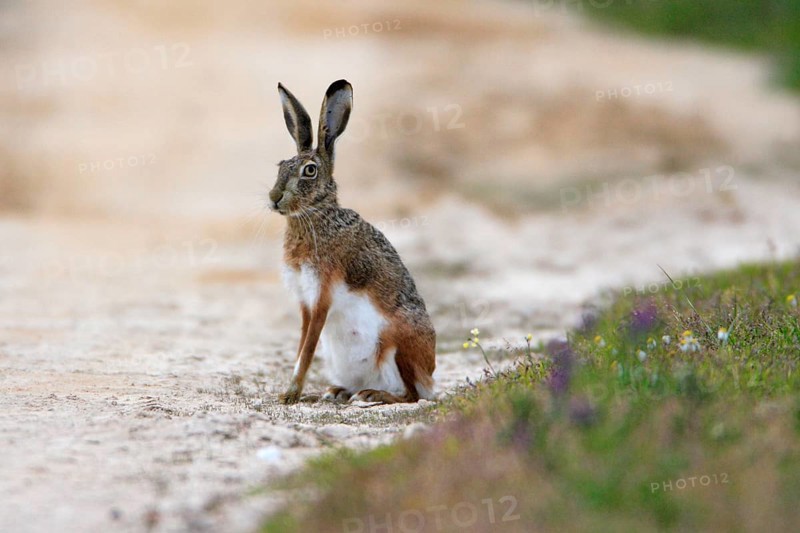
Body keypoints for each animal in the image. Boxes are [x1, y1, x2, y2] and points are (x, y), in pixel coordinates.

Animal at [269, 79, 436, 405]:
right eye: (280, 165)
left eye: (310, 170)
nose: (274, 198)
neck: (316, 216)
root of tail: (431, 378)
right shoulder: (305, 300)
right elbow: (302, 343)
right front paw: (293, 393)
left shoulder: (322, 293)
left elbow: (307, 349)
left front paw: (290, 394)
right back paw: (335, 391)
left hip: (400, 344)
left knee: (412, 395)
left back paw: (373, 394)